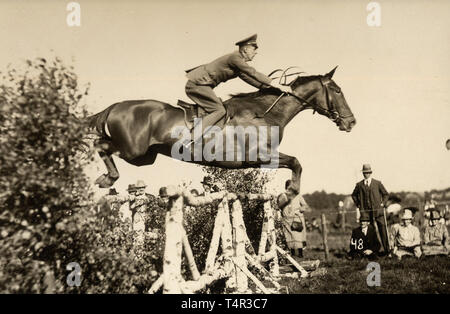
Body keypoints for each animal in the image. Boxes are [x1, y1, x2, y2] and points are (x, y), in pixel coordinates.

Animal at [87, 67, 356, 193]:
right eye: (337, 90)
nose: (351, 122)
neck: (265, 112)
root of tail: (115, 107)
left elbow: (295, 163)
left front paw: (289, 188)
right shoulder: (261, 156)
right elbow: (296, 162)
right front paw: (289, 192)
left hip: (145, 156)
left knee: (104, 146)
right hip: (133, 150)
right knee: (100, 145)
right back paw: (107, 178)